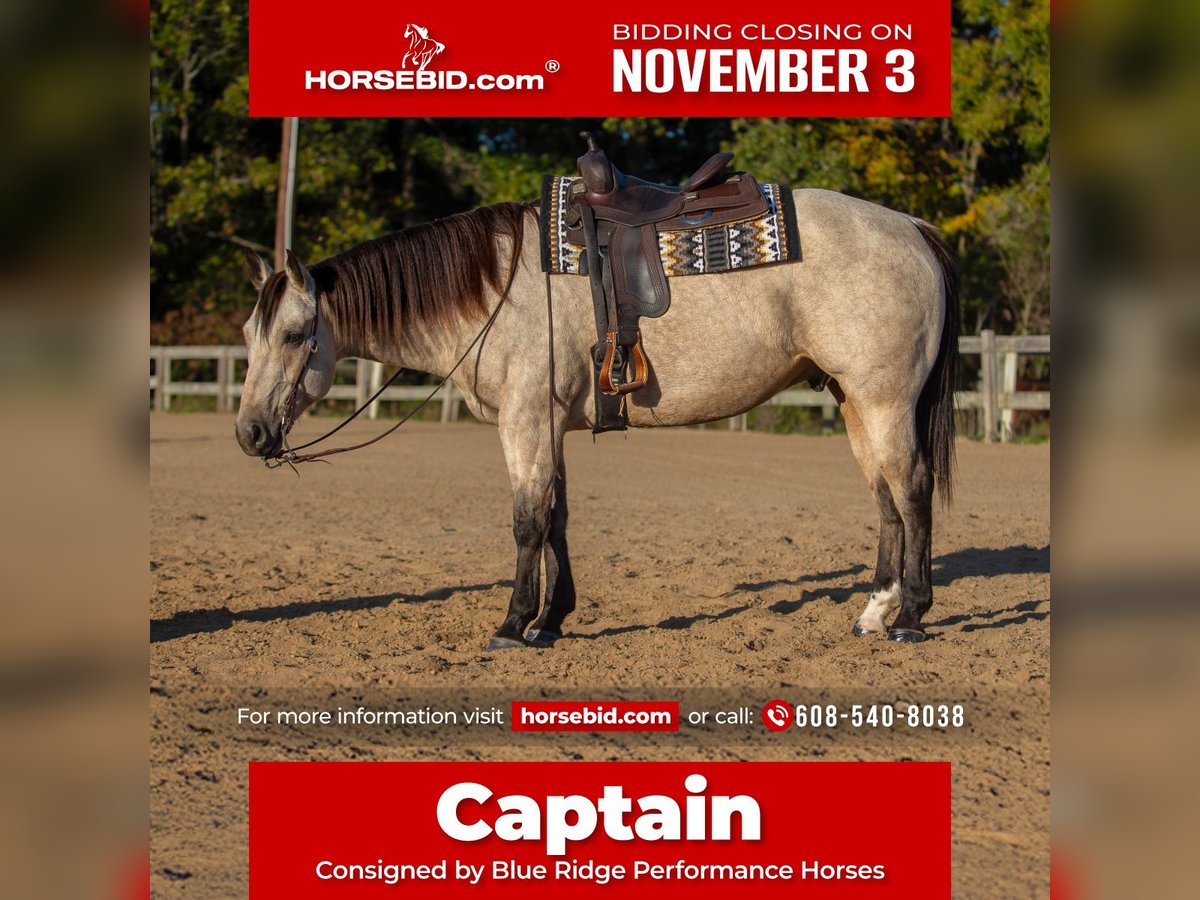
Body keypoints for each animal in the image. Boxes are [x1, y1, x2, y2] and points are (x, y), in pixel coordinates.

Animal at [236, 189, 959, 648]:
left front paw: (512, 625)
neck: (496, 291)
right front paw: (552, 620)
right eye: (248, 332)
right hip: (854, 401)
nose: (250, 433)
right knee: (885, 499)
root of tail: (909, 226)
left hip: (885, 400)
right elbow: (556, 518)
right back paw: (875, 610)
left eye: (296, 334)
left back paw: (912, 616)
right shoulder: (550, 425)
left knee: (912, 491)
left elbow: (527, 522)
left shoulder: (524, 422)